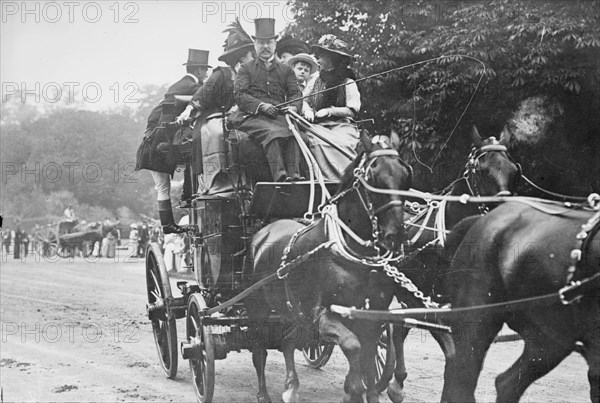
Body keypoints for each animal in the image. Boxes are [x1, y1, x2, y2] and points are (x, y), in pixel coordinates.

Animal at [246, 135, 414, 403]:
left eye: (406, 175)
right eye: (372, 177)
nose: (396, 234)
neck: (357, 259)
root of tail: (264, 232)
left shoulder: (372, 318)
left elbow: (369, 362)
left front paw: (369, 390)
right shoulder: (322, 316)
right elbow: (353, 347)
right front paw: (352, 390)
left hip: (296, 314)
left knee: (287, 341)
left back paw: (291, 387)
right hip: (259, 309)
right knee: (259, 348)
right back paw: (263, 394)